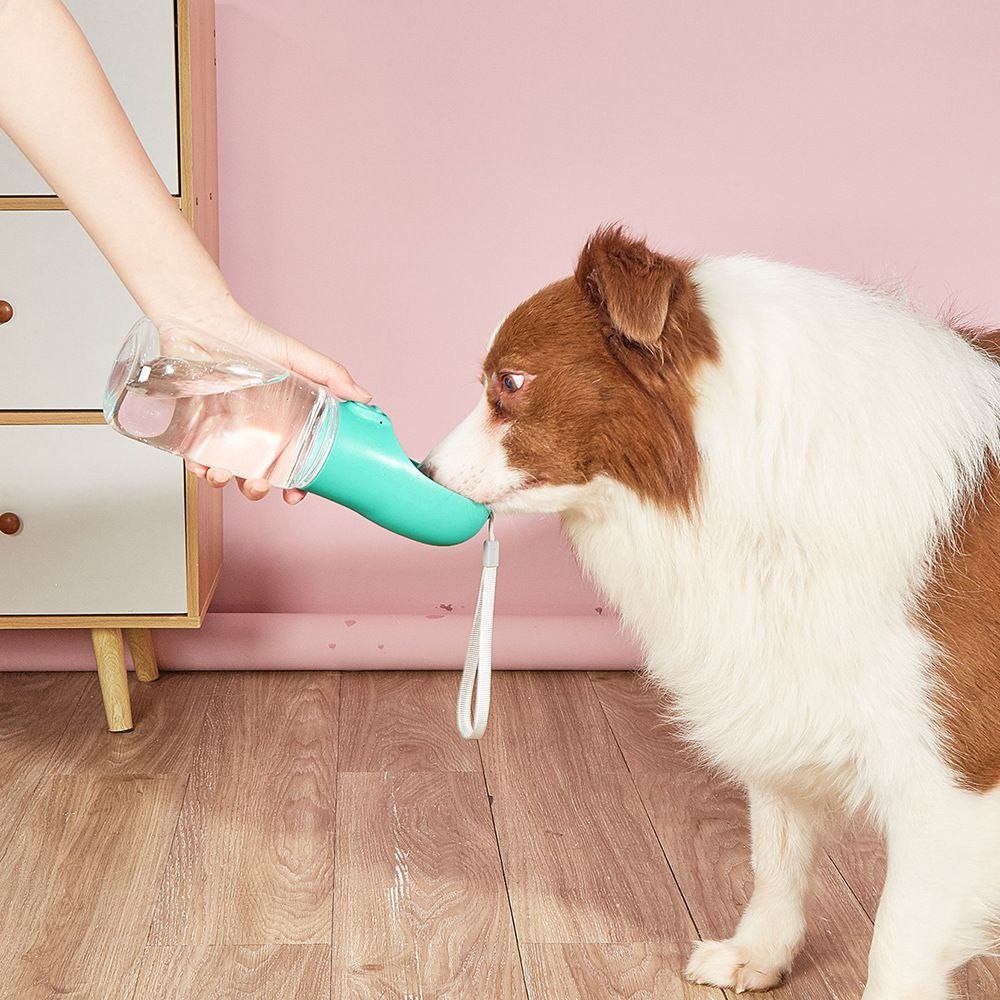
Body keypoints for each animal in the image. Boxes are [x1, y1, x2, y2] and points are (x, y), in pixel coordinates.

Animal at [426, 227, 1000, 1000]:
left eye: (510, 382)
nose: (422, 470)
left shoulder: (952, 770)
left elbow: (899, 939)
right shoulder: (781, 676)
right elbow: (775, 850)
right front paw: (758, 951)